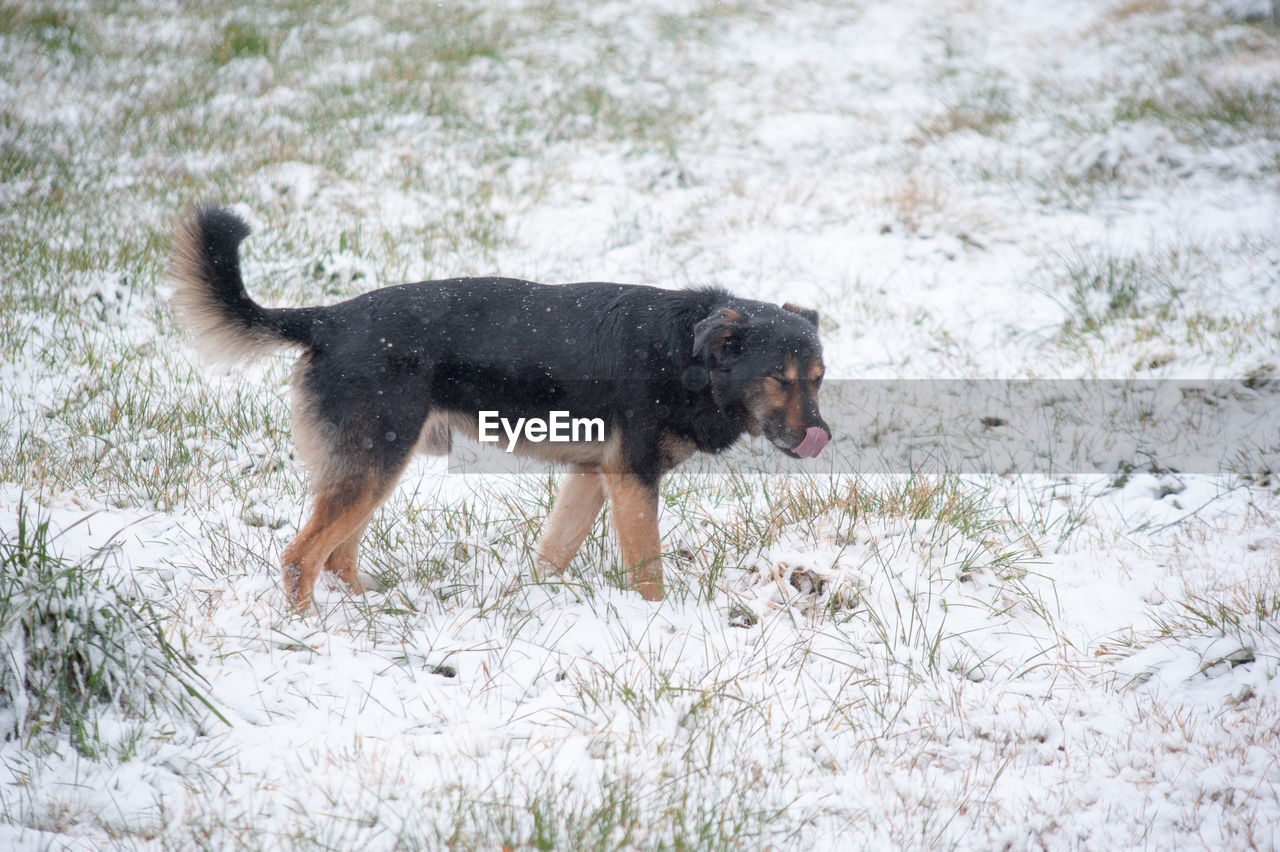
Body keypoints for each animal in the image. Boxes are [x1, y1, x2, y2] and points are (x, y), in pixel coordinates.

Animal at [170, 204, 829, 603]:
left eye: (818, 379)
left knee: (336, 556)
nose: (820, 436)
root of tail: (328, 319)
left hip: (375, 467)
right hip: (374, 463)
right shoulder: (632, 479)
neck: (684, 353)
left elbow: (553, 552)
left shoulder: (593, 476)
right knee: (300, 557)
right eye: (778, 378)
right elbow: (649, 573)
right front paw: (661, 626)